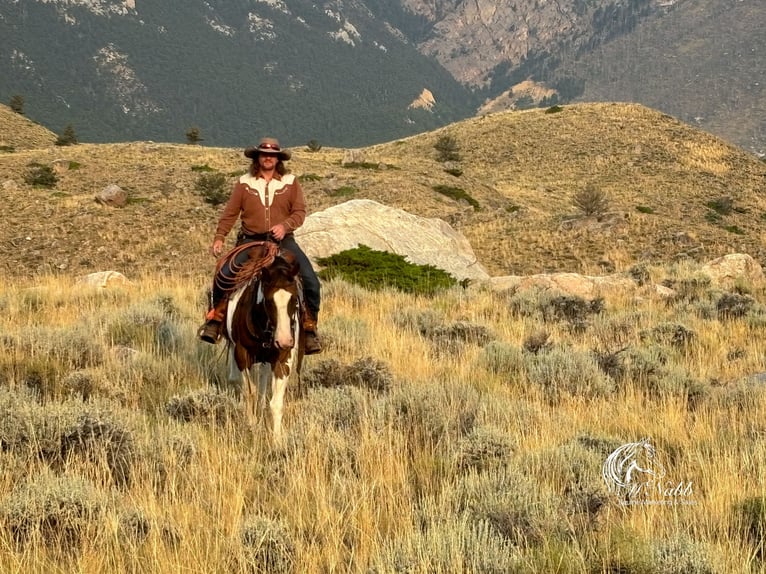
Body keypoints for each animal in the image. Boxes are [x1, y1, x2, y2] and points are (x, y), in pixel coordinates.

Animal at [218, 241, 304, 444]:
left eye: (295, 298)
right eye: (269, 300)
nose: (284, 340)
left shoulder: (284, 359)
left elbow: (276, 402)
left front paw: (277, 439)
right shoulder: (242, 355)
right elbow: (250, 392)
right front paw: (252, 426)